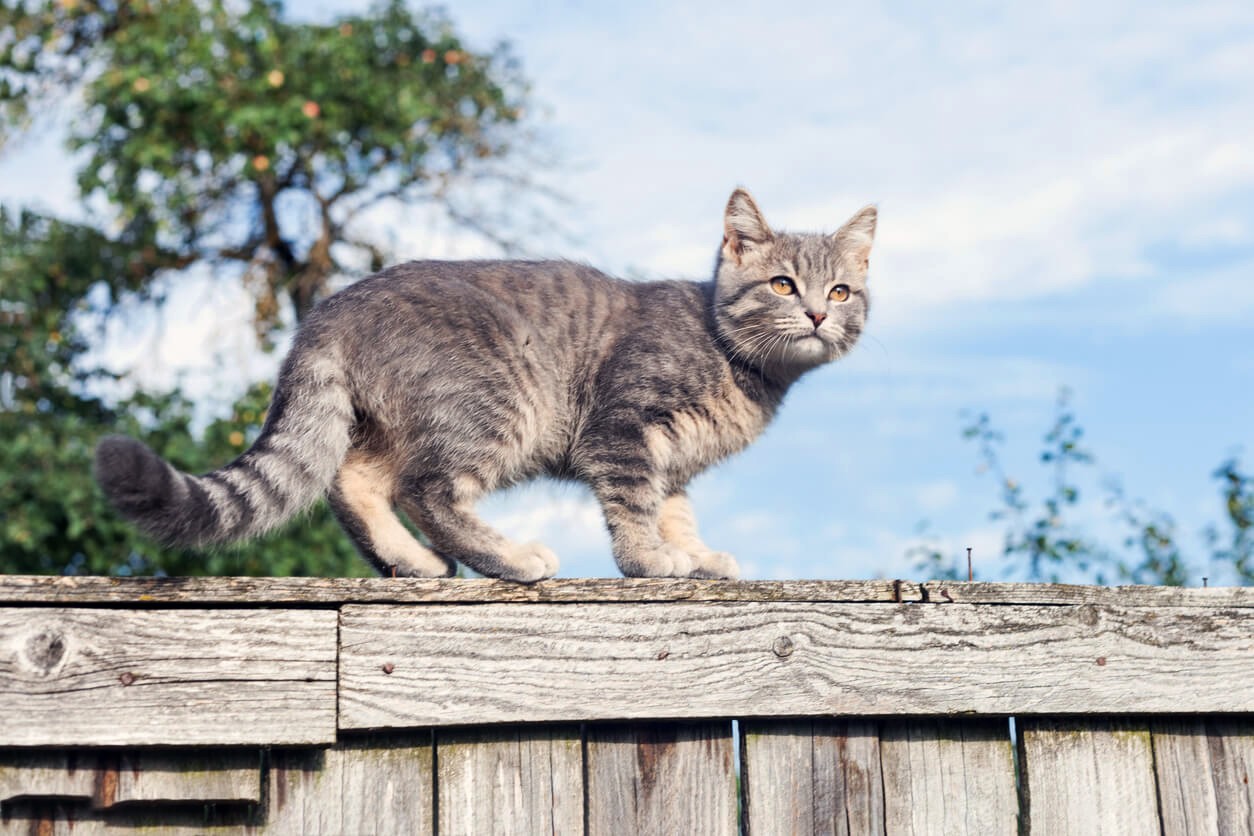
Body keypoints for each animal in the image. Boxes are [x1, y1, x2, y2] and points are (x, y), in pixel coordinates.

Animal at [95, 189, 872, 581]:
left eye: (841, 290)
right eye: (782, 284)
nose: (815, 313)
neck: (741, 364)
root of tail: (332, 309)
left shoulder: (672, 462)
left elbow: (674, 510)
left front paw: (696, 554)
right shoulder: (622, 429)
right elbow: (634, 507)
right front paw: (650, 561)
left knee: (354, 482)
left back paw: (410, 561)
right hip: (494, 406)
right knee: (426, 490)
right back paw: (512, 558)